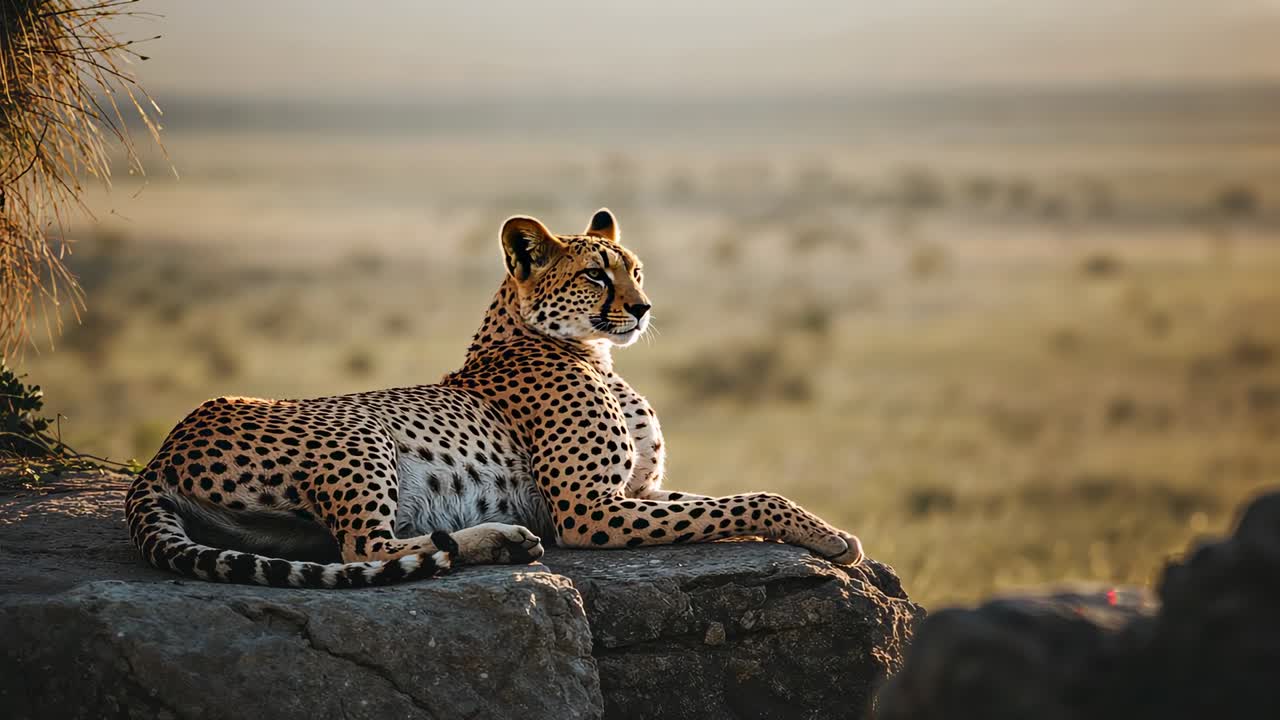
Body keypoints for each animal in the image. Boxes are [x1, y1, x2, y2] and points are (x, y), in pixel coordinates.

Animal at [124, 209, 864, 587]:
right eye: (597, 276)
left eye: (636, 270)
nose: (644, 307)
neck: (582, 349)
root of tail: (161, 451)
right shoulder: (589, 512)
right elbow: (753, 499)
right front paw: (834, 539)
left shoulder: (640, 493)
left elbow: (728, 497)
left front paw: (822, 529)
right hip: (361, 433)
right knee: (363, 550)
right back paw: (502, 538)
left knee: (347, 547)